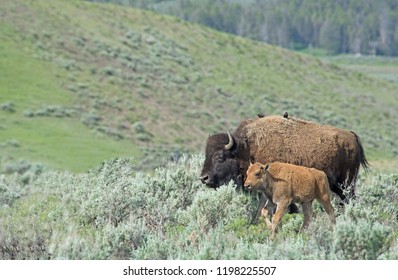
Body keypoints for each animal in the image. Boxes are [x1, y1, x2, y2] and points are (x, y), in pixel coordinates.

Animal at [201, 114, 368, 217]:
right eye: (206, 155)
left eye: (220, 156)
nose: (204, 178)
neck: (246, 148)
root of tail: (352, 136)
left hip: (346, 184)